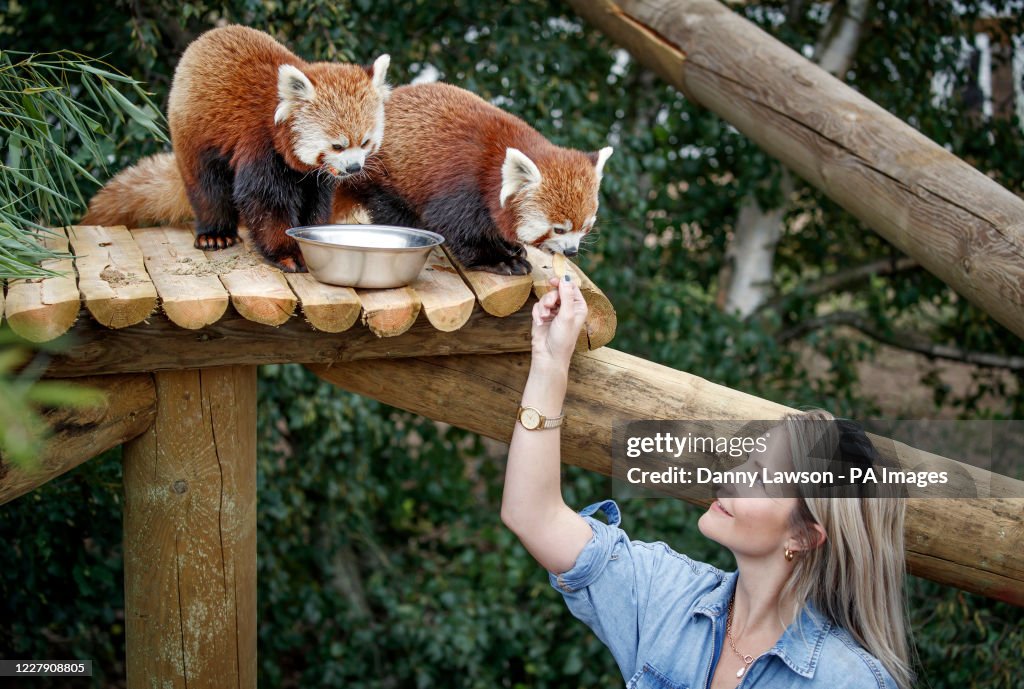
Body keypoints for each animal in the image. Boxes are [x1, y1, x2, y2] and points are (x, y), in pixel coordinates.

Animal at [81, 24, 387, 272]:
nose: (354, 167)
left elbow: (315, 203)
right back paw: (215, 233)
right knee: (208, 186)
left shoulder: (312, 176)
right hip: (194, 135)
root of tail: (203, 39)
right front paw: (287, 254)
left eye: (365, 143)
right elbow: (264, 202)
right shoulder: (260, 145)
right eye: (337, 145)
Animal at [333, 81, 606, 274]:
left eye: (586, 227)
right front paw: (499, 260)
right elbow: (458, 228)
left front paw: (509, 245)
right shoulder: (464, 187)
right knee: (395, 212)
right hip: (387, 179)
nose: (571, 252)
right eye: (558, 229)